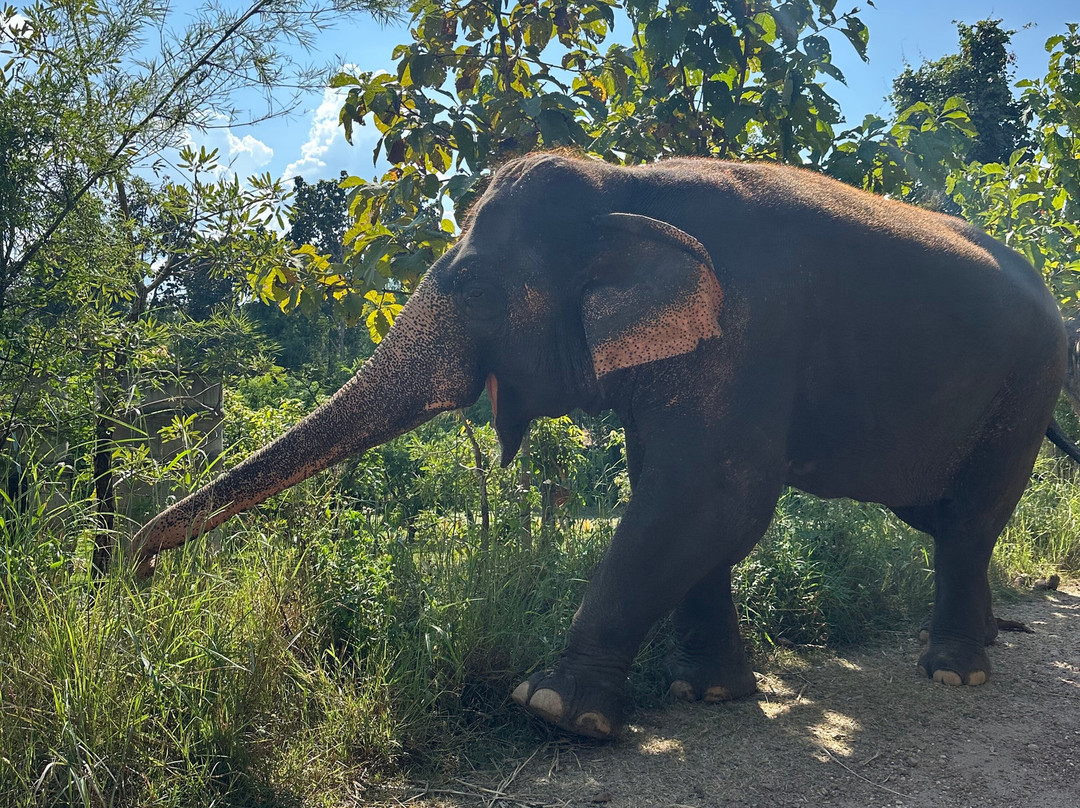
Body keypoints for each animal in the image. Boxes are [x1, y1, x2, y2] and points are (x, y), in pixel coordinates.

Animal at [134, 152, 1073, 740]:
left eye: (474, 286)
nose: (135, 569)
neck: (627, 183)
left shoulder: (753, 336)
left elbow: (713, 499)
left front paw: (552, 708)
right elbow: (681, 496)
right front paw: (707, 693)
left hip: (1027, 384)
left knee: (969, 519)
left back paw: (953, 673)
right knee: (942, 517)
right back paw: (981, 649)